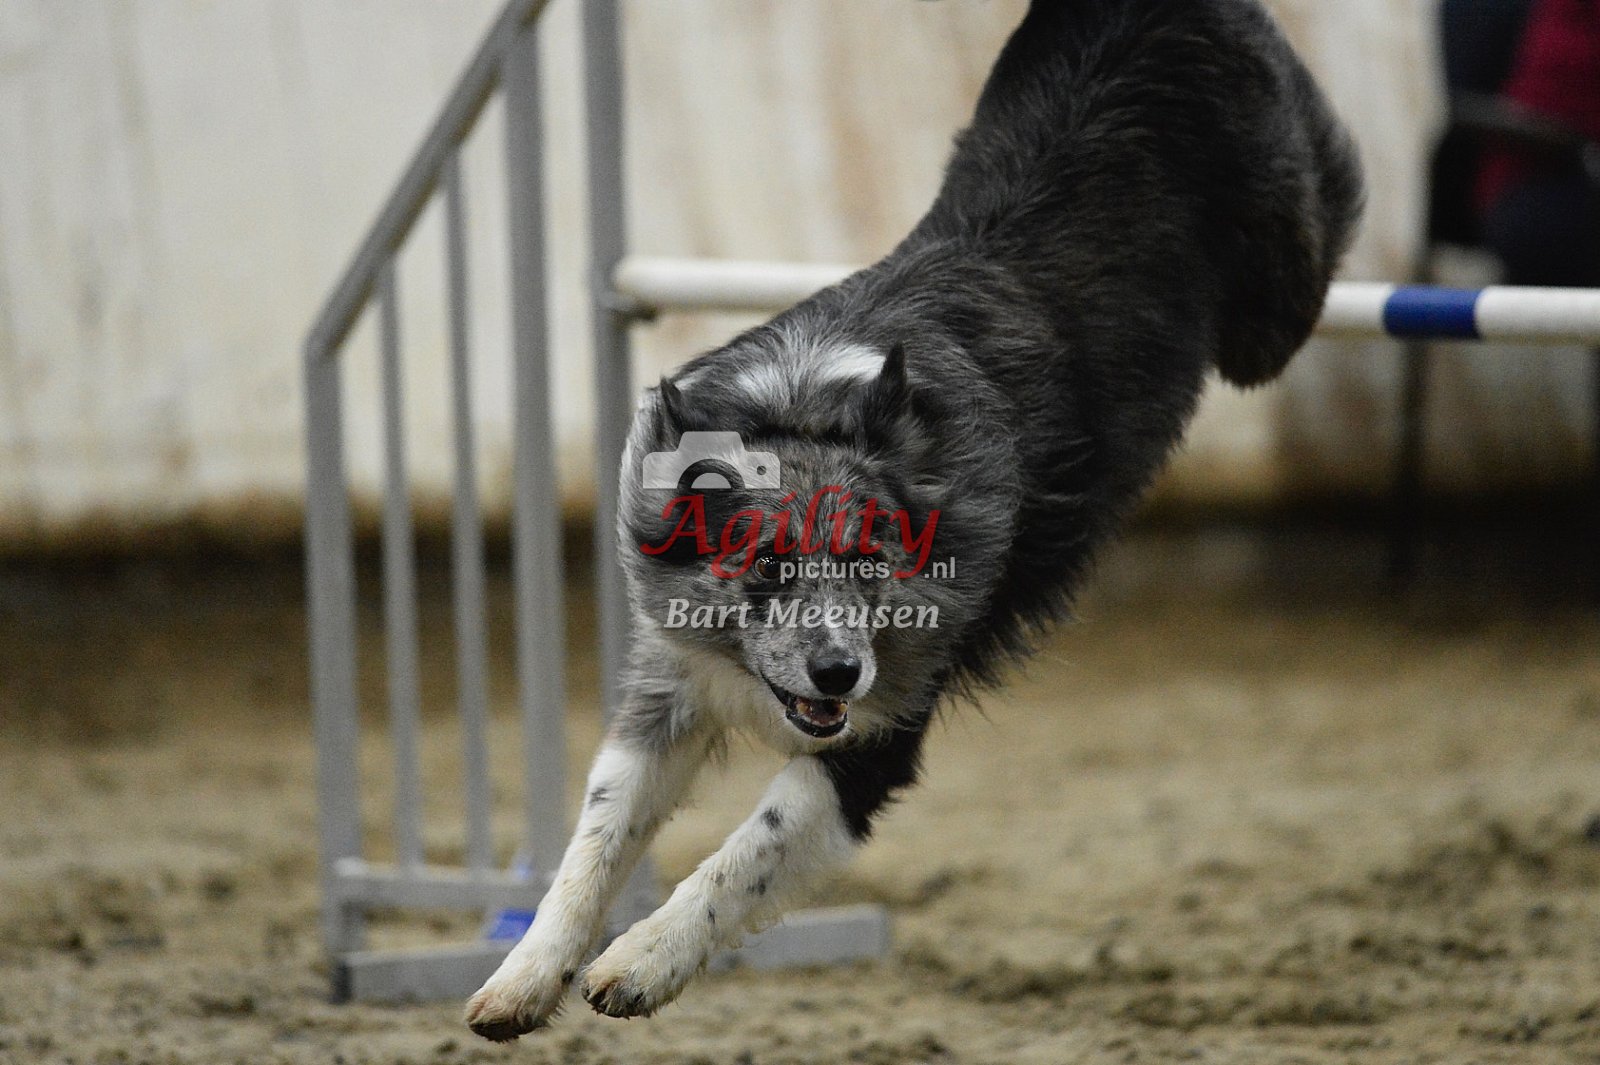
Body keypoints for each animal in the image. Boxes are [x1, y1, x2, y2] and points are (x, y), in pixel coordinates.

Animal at [467, 0, 1361, 1039]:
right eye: (762, 562)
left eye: (870, 558)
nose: (837, 672)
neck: (805, 409)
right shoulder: (669, 682)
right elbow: (597, 834)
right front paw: (523, 974)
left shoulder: (876, 735)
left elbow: (746, 852)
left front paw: (641, 960)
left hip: (1271, 297)